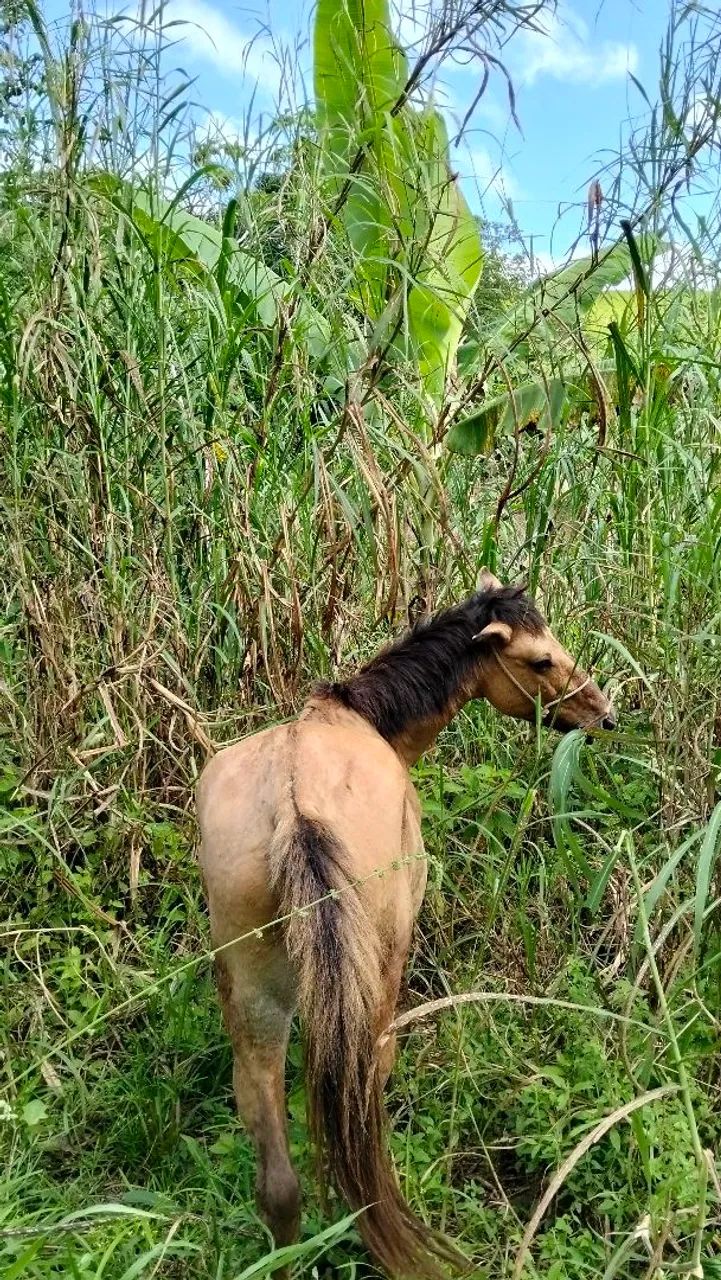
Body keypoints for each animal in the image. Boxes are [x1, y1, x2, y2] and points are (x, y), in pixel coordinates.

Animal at [196, 569, 616, 1278]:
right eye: (540, 660)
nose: (602, 713)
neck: (358, 716)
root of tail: (295, 810)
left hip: (253, 995)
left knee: (274, 1167)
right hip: (375, 967)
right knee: (368, 1078)